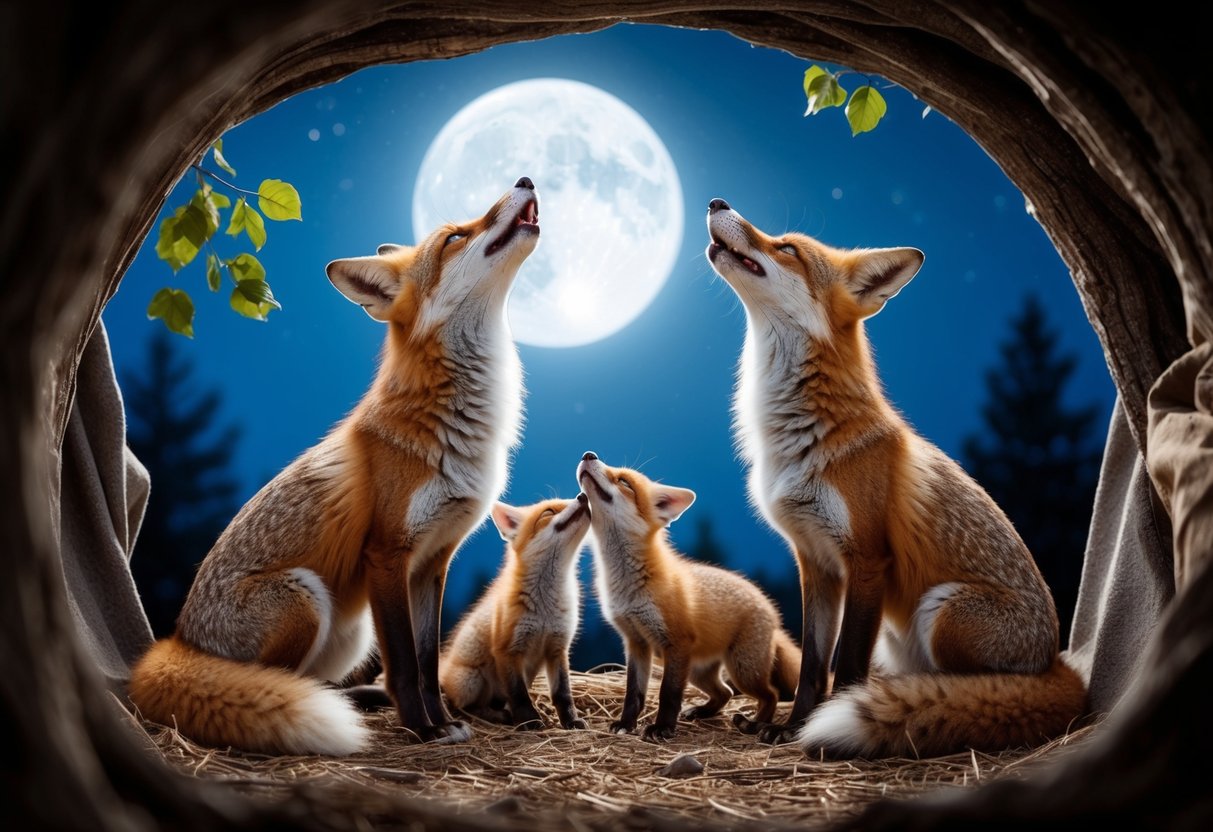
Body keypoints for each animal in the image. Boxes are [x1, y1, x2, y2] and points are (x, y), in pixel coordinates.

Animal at [127, 178, 541, 755]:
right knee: (269, 684)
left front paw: (441, 724)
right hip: (306, 598)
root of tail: (180, 639)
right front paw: (422, 729)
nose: (524, 180)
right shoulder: (387, 554)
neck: (454, 427)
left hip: (351, 631)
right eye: (456, 236)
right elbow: (405, 665)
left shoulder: (433, 562)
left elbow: (428, 661)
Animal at [440, 495, 591, 730]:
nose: (583, 496)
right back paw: (494, 716)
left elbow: (563, 694)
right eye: (548, 512)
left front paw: (570, 720)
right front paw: (530, 721)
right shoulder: (508, 650)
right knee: (462, 706)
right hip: (470, 680)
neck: (545, 610)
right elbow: (519, 695)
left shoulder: (557, 648)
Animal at [577, 452, 801, 741]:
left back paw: (753, 724)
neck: (630, 586)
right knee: (725, 692)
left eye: (625, 482)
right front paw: (626, 724)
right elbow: (633, 694)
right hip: (698, 672)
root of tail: (771, 609)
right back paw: (703, 712)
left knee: (770, 694)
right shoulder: (636, 643)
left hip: (742, 669)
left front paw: (662, 728)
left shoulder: (676, 641)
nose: (588, 454)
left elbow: (668, 694)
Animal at [704, 196, 1087, 757]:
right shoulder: (814, 561)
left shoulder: (867, 560)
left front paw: (825, 729)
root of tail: (1057, 661)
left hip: (942, 609)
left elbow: (846, 666)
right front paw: (793, 726)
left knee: (976, 688)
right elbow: (814, 664)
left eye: (788, 248)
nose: (717, 202)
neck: (801, 436)